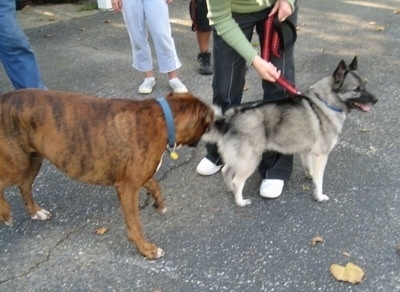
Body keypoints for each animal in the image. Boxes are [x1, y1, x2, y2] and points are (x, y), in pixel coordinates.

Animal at [0, 89, 214, 260]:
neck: (164, 118)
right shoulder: (127, 188)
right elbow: (135, 224)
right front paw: (147, 249)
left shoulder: (135, 178)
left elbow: (155, 184)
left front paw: (159, 204)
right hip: (17, 164)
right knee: (5, 184)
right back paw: (6, 212)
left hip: (33, 159)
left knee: (24, 185)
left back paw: (35, 211)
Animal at [203, 57, 378, 206]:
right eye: (356, 89)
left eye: (365, 86)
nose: (376, 100)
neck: (326, 102)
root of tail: (229, 119)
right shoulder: (321, 155)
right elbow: (320, 180)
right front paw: (319, 196)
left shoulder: (307, 151)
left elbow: (310, 168)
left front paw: (311, 177)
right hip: (250, 160)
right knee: (237, 181)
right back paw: (240, 201)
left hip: (238, 157)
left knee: (225, 171)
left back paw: (231, 191)